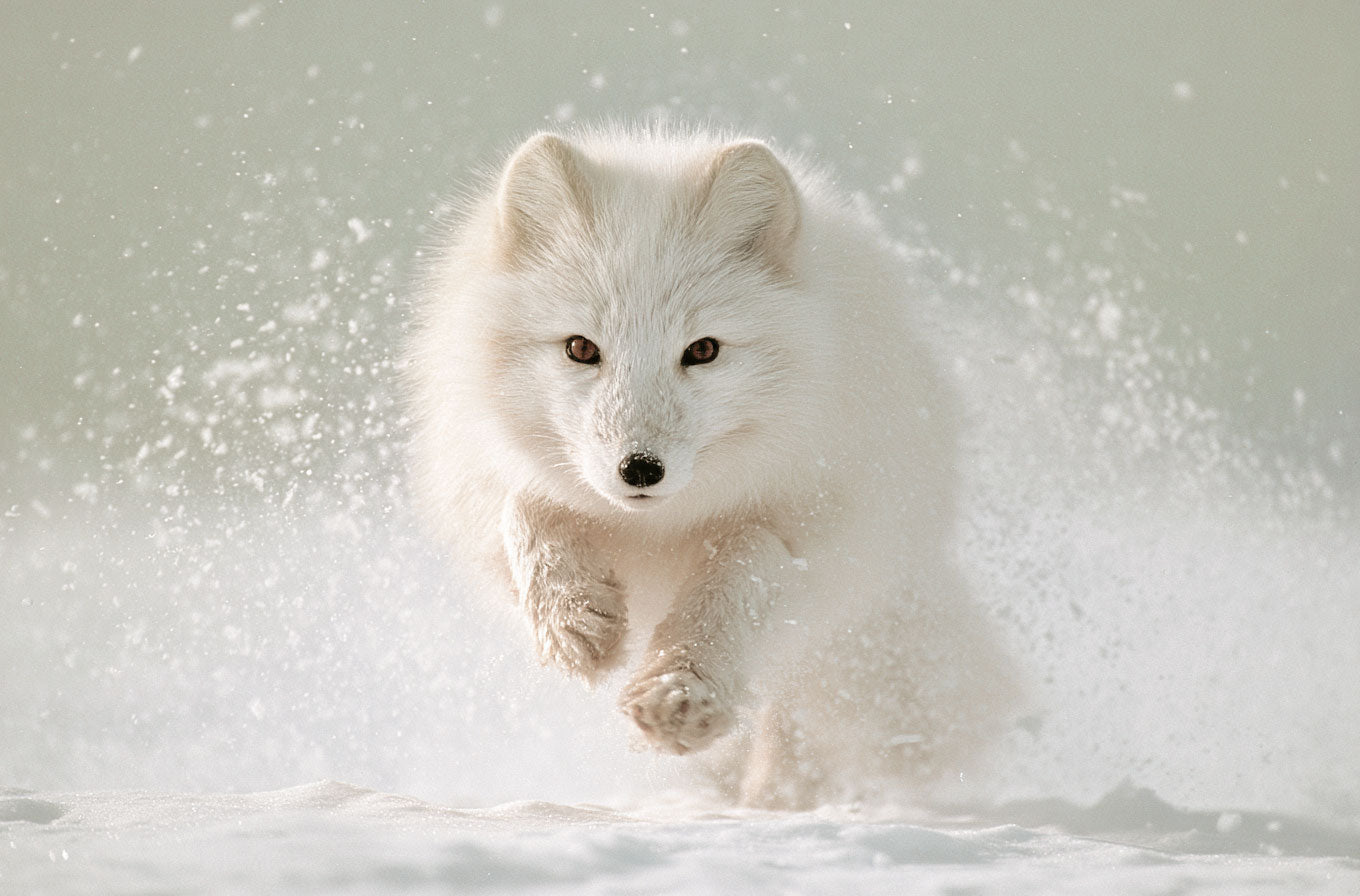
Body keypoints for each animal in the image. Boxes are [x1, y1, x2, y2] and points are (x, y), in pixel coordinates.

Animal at [407, 124, 1019, 808]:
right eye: (581, 348)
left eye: (702, 350)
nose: (639, 470)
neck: (658, 527)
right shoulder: (484, 478)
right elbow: (526, 509)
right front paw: (572, 618)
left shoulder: (825, 535)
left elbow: (741, 565)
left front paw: (680, 690)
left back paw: (772, 795)